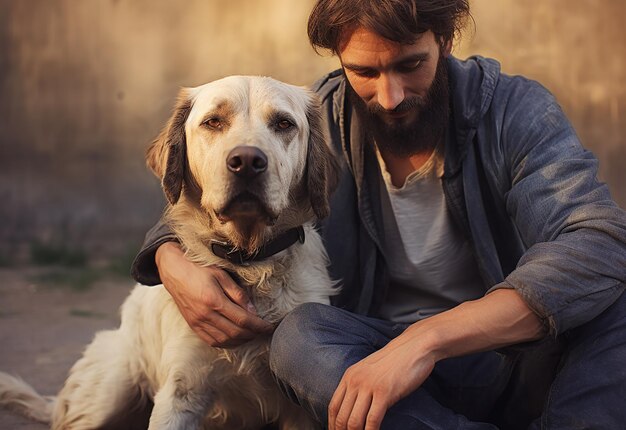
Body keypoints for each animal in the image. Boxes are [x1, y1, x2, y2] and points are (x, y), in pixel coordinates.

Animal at [0, 75, 338, 428]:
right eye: (213, 122)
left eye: (284, 124)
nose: (246, 162)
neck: (248, 261)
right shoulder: (181, 393)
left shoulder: (298, 413)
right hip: (111, 389)